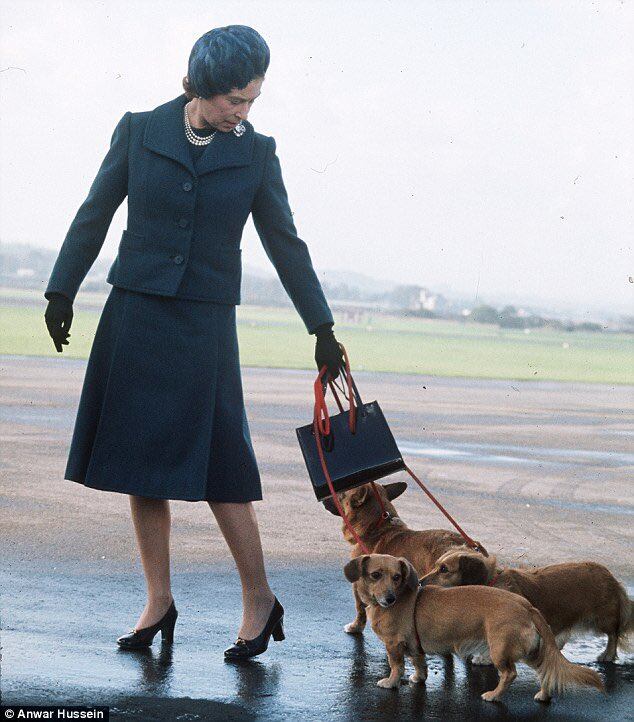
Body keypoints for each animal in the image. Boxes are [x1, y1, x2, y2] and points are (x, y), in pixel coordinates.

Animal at [324, 484, 482, 632]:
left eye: (340, 493)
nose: (324, 498)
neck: (377, 528)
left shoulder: (359, 586)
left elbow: (360, 608)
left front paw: (355, 627)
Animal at [344, 556, 600, 700]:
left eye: (397, 577)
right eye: (376, 575)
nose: (389, 599)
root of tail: (526, 606)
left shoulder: (394, 645)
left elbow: (396, 667)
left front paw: (390, 683)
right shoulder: (415, 647)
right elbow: (419, 664)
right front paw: (418, 678)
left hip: (500, 650)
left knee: (510, 674)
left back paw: (494, 696)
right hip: (531, 651)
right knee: (545, 671)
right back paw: (543, 695)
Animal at [418, 548, 628, 660]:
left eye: (444, 569)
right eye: (436, 565)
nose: (419, 582)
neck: (491, 583)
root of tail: (609, 575)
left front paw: (485, 658)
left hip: (602, 619)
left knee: (614, 634)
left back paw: (608, 655)